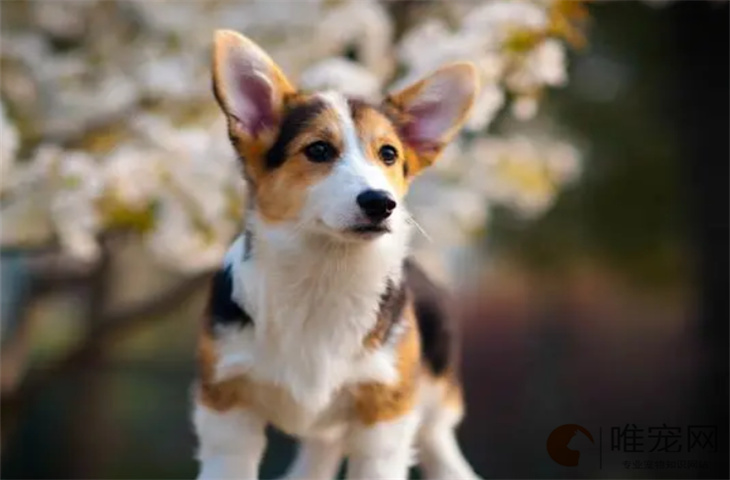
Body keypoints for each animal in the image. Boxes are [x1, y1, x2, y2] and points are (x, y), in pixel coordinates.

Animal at [191, 30, 480, 480]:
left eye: (389, 154)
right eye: (319, 150)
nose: (381, 204)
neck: (326, 271)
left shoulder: (385, 415)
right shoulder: (227, 409)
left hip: (432, 399)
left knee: (440, 446)